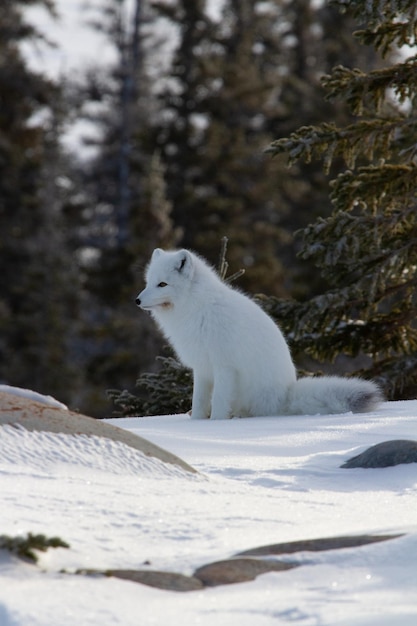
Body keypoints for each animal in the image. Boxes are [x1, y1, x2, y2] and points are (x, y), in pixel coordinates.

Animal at [135, 249, 382, 420]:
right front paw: (196, 423)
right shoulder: (202, 368)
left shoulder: (224, 366)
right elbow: (199, 402)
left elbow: (219, 402)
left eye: (162, 284)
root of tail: (286, 396)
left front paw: (215, 424)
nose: (137, 300)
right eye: (148, 282)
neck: (197, 308)